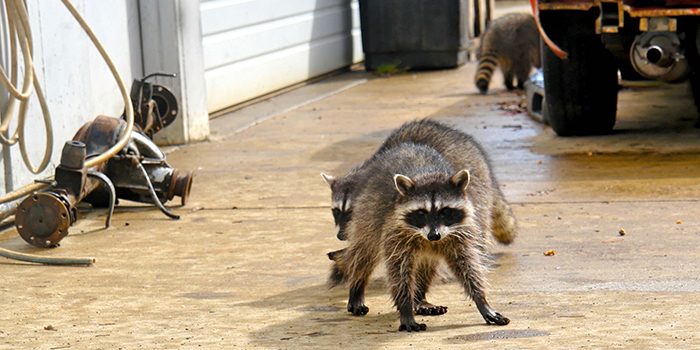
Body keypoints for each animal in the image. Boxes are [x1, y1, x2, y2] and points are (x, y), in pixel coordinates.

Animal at [330, 142, 512, 330]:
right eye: (421, 213)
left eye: (445, 211)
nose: (434, 235)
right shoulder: (394, 231)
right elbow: (398, 269)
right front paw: (405, 306)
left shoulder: (460, 233)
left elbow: (467, 265)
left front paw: (481, 299)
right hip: (368, 210)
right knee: (364, 251)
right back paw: (357, 285)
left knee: (427, 264)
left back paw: (419, 298)